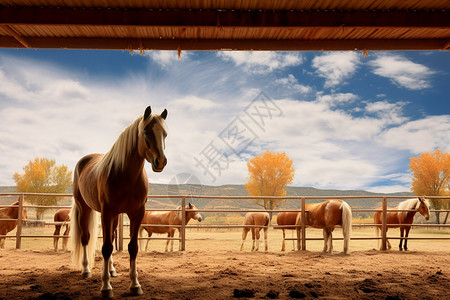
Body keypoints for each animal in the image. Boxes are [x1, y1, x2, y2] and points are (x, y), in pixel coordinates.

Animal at [69, 106, 168, 298]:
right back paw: (86, 270)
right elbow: (106, 247)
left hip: (114, 217)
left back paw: (112, 270)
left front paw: (135, 285)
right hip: (85, 209)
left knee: (112, 237)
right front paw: (106, 287)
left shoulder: (136, 213)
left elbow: (132, 247)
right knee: (86, 238)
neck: (126, 175)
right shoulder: (107, 212)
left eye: (165, 134)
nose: (160, 162)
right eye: (146, 131)